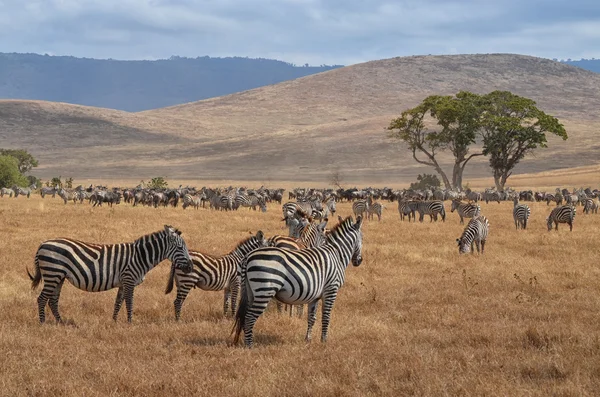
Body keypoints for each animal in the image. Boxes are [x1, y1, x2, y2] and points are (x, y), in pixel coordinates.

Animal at [27, 224, 192, 324]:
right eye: (180, 247)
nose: (190, 267)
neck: (139, 256)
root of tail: (43, 244)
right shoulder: (129, 279)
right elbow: (129, 302)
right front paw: (130, 323)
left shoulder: (123, 282)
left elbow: (118, 303)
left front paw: (114, 321)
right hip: (52, 273)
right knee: (42, 299)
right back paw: (42, 323)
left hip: (58, 276)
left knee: (53, 300)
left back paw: (60, 322)